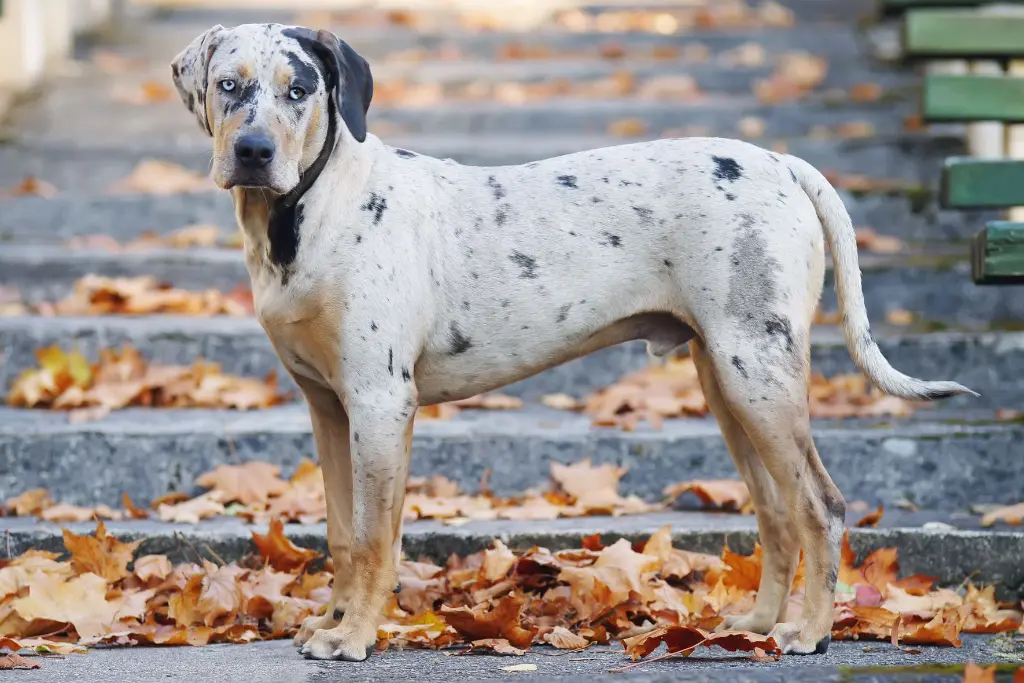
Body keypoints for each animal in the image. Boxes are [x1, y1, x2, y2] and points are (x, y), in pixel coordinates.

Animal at [172, 22, 978, 663]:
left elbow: (374, 537)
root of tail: (782, 163)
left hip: (759, 374)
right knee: (777, 511)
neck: (307, 213)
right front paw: (332, 622)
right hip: (728, 380)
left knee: (821, 505)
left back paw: (808, 631)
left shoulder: (378, 404)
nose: (252, 151)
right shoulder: (328, 408)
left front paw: (353, 637)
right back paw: (753, 623)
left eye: (299, 88)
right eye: (228, 84)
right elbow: (342, 533)